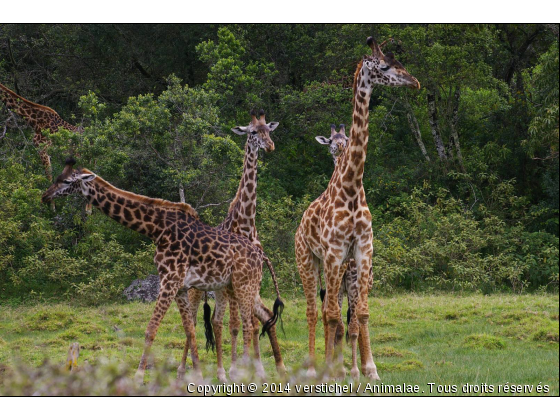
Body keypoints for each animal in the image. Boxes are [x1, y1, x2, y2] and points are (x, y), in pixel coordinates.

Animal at [41, 158, 282, 380]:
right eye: (58, 178)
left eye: (67, 181)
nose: (45, 196)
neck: (156, 230)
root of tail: (261, 254)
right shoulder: (180, 287)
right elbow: (190, 330)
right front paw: (196, 375)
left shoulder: (169, 280)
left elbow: (150, 330)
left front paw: (139, 376)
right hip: (234, 286)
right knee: (255, 320)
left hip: (244, 284)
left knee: (249, 325)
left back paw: (246, 373)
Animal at [182, 110, 284, 378]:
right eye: (253, 132)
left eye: (269, 130)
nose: (270, 146)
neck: (246, 225)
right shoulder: (232, 287)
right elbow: (235, 325)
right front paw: (236, 368)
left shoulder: (249, 284)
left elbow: (251, 323)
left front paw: (254, 369)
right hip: (196, 291)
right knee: (194, 322)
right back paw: (185, 369)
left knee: (256, 318)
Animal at [294, 37, 420, 380]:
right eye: (386, 66)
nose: (414, 82)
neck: (351, 189)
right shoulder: (336, 252)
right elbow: (333, 317)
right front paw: (335, 372)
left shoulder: (364, 250)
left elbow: (360, 315)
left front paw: (369, 370)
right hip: (307, 260)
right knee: (314, 311)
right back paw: (314, 368)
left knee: (334, 313)